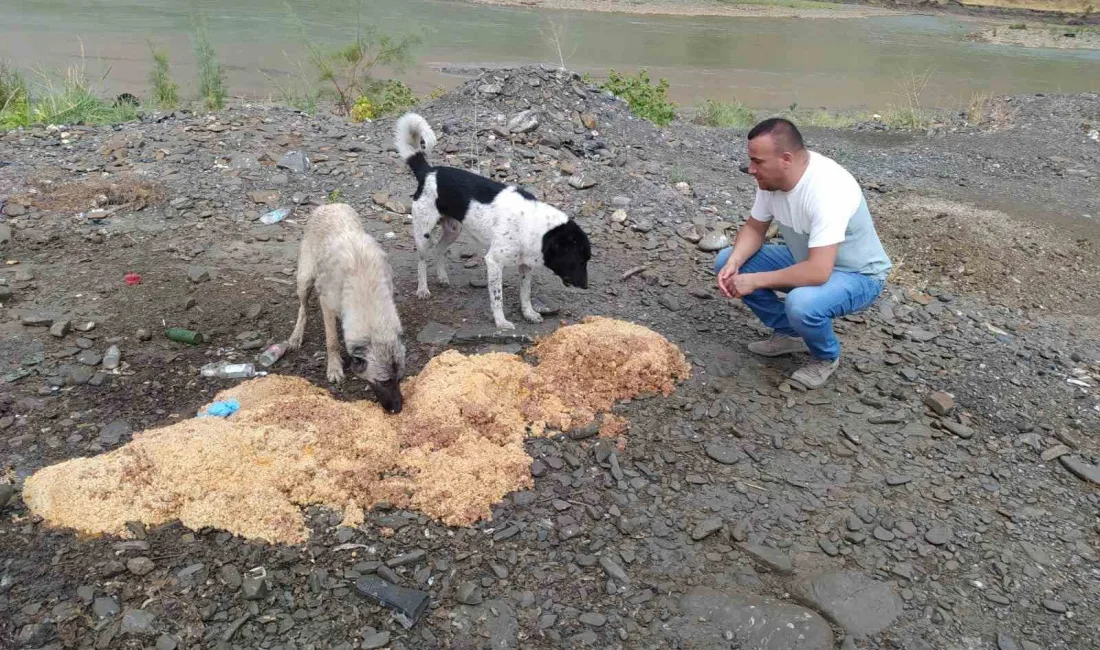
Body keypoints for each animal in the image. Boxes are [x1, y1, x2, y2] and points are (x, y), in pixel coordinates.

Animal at [393, 111, 589, 329]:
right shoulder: (494, 262)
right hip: (423, 233)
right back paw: (423, 289)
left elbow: (525, 293)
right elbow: (497, 297)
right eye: (579, 259)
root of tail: (428, 172)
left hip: (453, 230)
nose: (586, 286)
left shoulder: (525, 265)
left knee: (439, 250)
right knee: (422, 260)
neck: (537, 226)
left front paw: (528, 313)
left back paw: (442, 277)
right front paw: (501, 321)